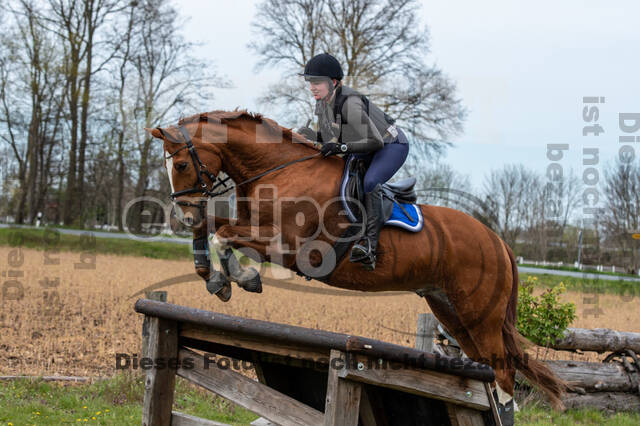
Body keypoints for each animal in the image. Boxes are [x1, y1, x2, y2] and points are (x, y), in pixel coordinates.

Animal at [144, 108, 564, 418]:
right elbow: (215, 229)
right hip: (451, 311)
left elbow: (224, 236)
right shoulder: (253, 227)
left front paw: (240, 278)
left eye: (180, 165)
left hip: (480, 315)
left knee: (504, 373)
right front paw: (214, 278)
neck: (281, 171)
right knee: (487, 367)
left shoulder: (293, 248)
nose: (183, 214)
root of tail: (498, 241)